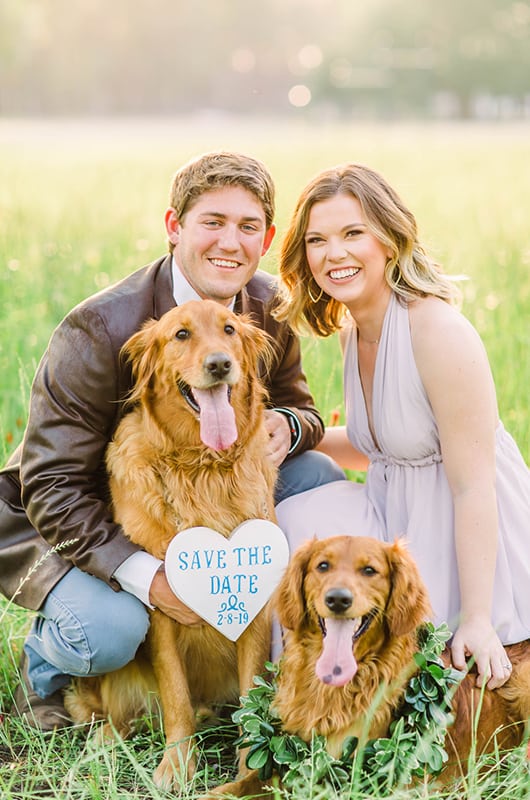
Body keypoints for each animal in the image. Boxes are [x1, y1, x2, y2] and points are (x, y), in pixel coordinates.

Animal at [65, 300, 276, 788]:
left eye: (230, 329)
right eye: (181, 334)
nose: (219, 364)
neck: (202, 467)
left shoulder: (256, 601)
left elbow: (251, 693)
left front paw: (247, 769)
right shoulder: (161, 605)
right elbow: (176, 695)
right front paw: (176, 766)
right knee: (110, 711)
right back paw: (107, 737)